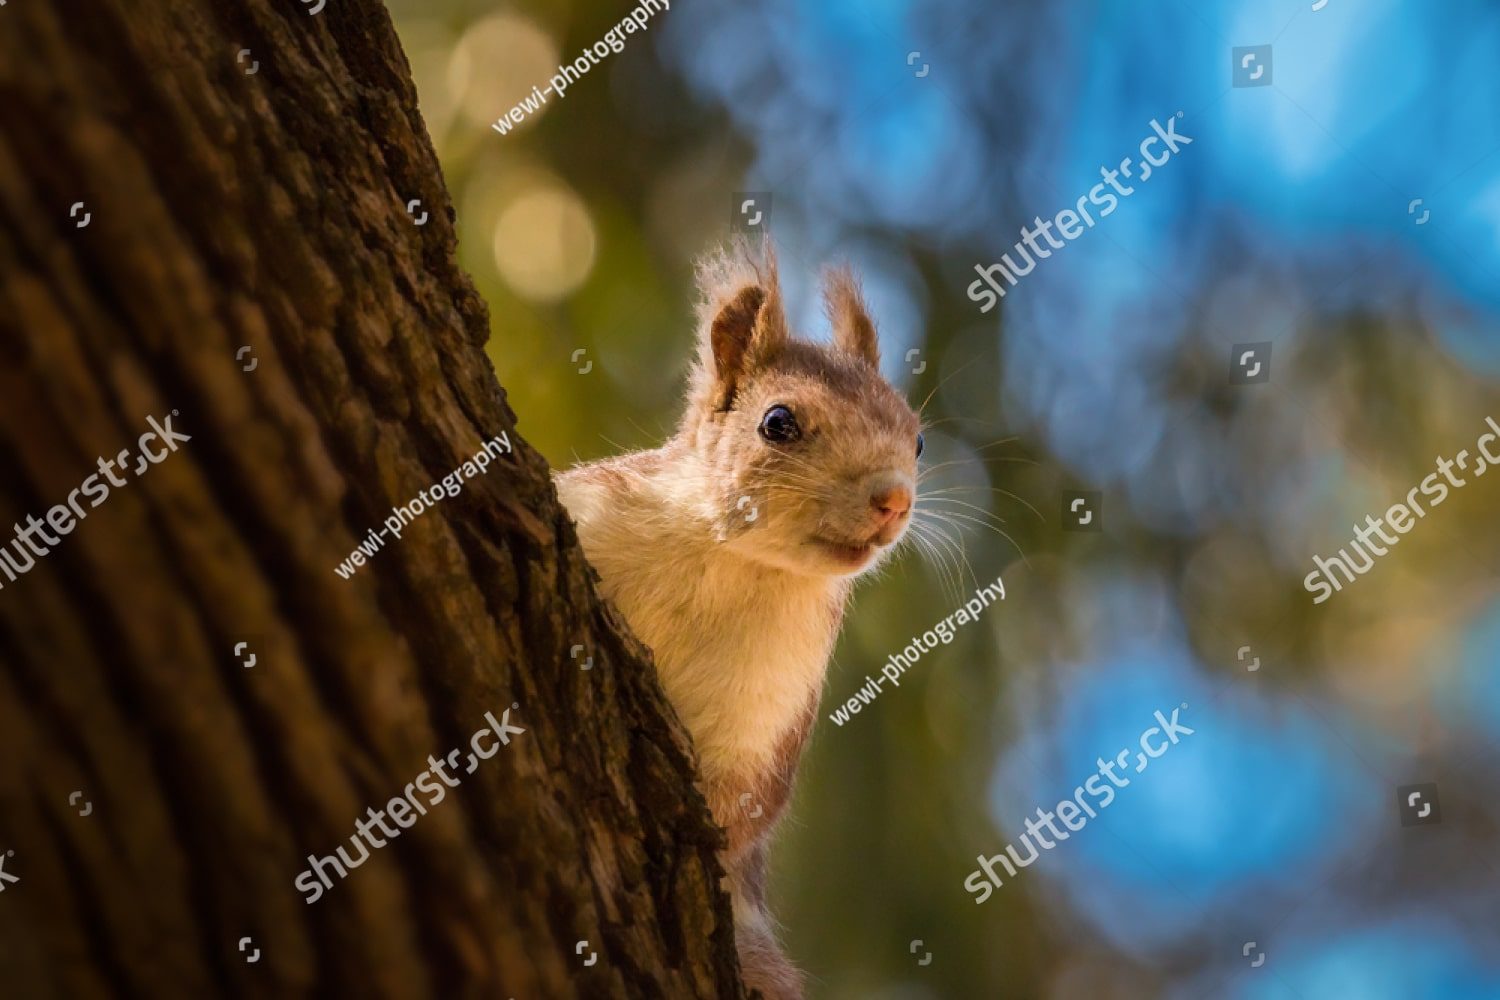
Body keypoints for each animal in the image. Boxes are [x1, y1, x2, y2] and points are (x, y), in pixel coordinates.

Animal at [555, 241, 921, 999]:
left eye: (920, 439)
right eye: (777, 423)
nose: (894, 500)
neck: (733, 563)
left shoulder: (767, 711)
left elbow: (735, 807)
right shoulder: (591, 508)